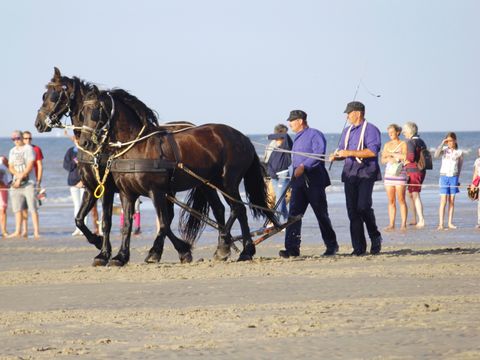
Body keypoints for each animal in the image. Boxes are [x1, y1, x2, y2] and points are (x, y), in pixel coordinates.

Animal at [78, 86, 278, 266]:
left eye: (95, 111)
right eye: (81, 113)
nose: (85, 142)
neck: (136, 146)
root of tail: (244, 138)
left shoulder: (156, 191)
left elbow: (164, 223)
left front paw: (159, 252)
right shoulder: (127, 193)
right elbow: (127, 225)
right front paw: (120, 256)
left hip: (228, 182)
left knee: (238, 209)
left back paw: (243, 250)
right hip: (208, 183)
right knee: (221, 210)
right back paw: (225, 247)